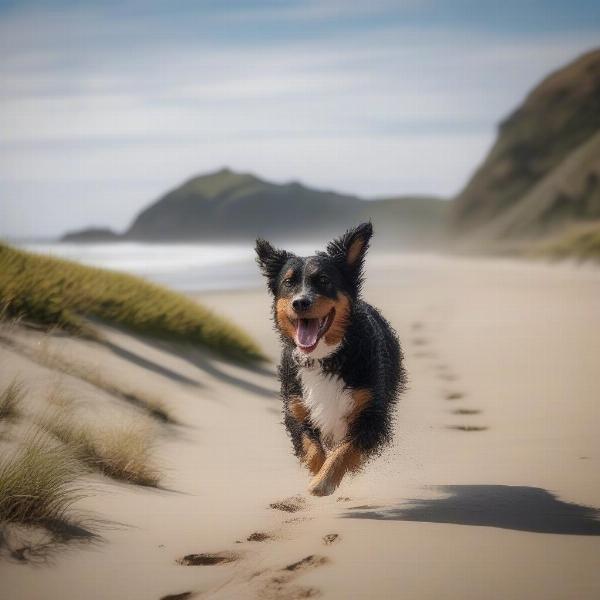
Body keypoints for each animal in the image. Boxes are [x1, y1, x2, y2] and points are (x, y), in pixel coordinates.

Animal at [255, 223, 406, 494]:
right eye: (288, 282)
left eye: (324, 280)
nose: (300, 302)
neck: (324, 357)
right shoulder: (296, 410)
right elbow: (312, 448)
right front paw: (318, 473)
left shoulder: (372, 414)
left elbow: (345, 449)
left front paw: (324, 481)